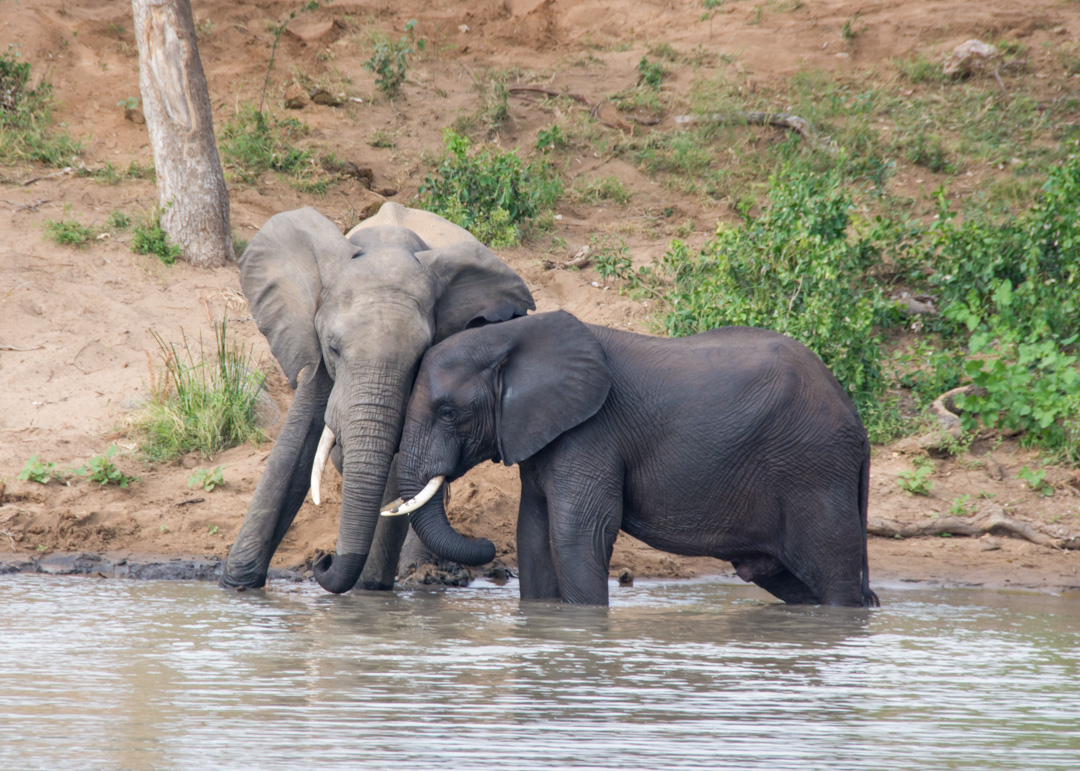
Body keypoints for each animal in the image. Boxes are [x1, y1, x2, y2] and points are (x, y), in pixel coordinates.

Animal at [220, 200, 535, 591]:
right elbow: (296, 444)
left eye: (420, 356)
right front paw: (237, 584)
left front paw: (370, 589)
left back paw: (422, 573)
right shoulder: (312, 343)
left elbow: (402, 462)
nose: (322, 560)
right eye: (333, 347)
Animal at [384, 308, 881, 604]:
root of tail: (858, 425)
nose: (487, 546)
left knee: (832, 575)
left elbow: (577, 534)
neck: (513, 336)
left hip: (814, 472)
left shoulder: (592, 432)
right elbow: (534, 534)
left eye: (449, 412)